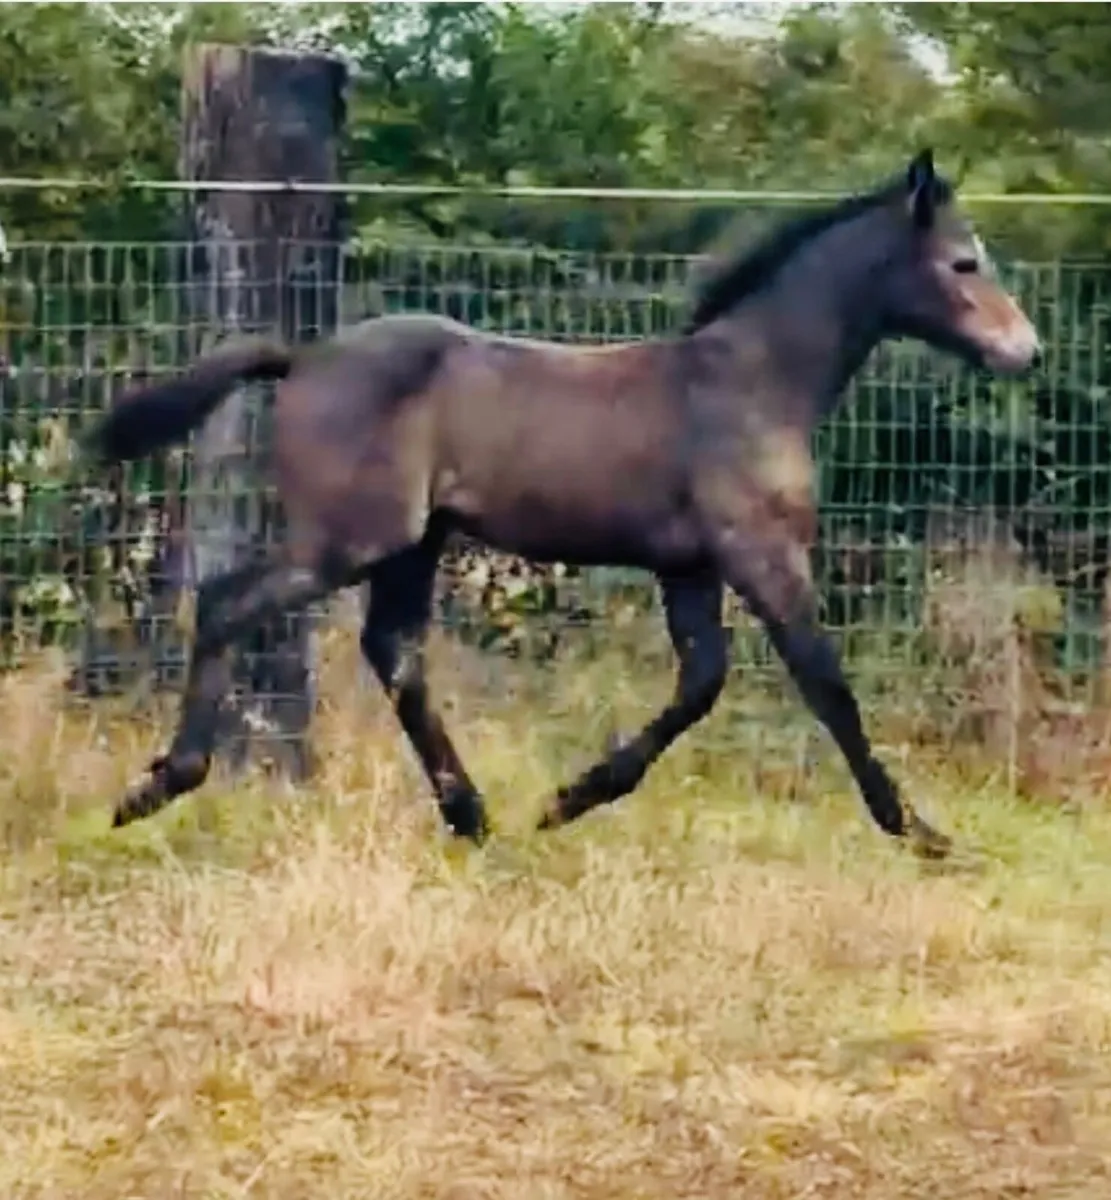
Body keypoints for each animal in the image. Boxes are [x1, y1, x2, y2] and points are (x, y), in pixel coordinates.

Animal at [86, 148, 1040, 859]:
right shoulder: (760, 554)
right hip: (349, 538)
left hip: (414, 544)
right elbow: (826, 686)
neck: (750, 382)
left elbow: (701, 684)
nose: (1024, 353)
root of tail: (305, 357)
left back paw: (472, 817)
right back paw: (159, 785)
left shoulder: (687, 567)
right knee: (226, 602)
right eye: (963, 262)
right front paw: (919, 830)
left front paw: (567, 800)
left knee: (393, 653)